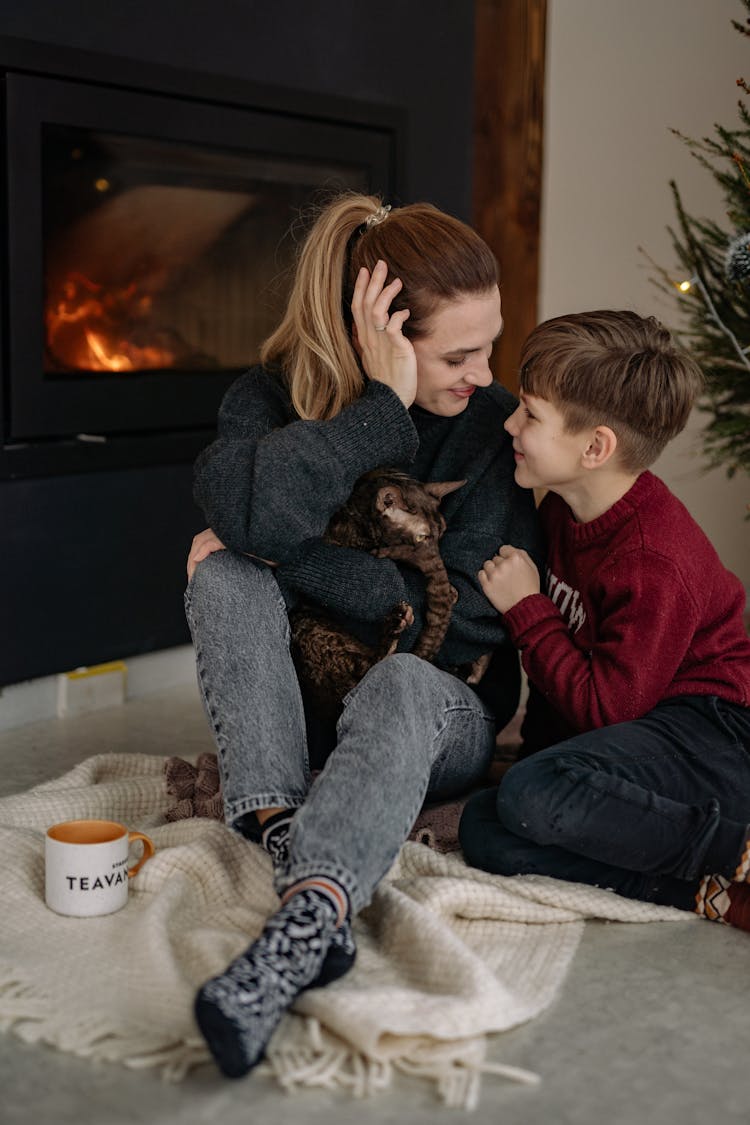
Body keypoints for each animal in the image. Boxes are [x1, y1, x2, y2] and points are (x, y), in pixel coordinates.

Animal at [290, 468, 472, 720]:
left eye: (442, 532)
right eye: (420, 538)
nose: (435, 557)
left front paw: (450, 590)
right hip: (309, 627)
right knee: (372, 667)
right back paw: (395, 623)